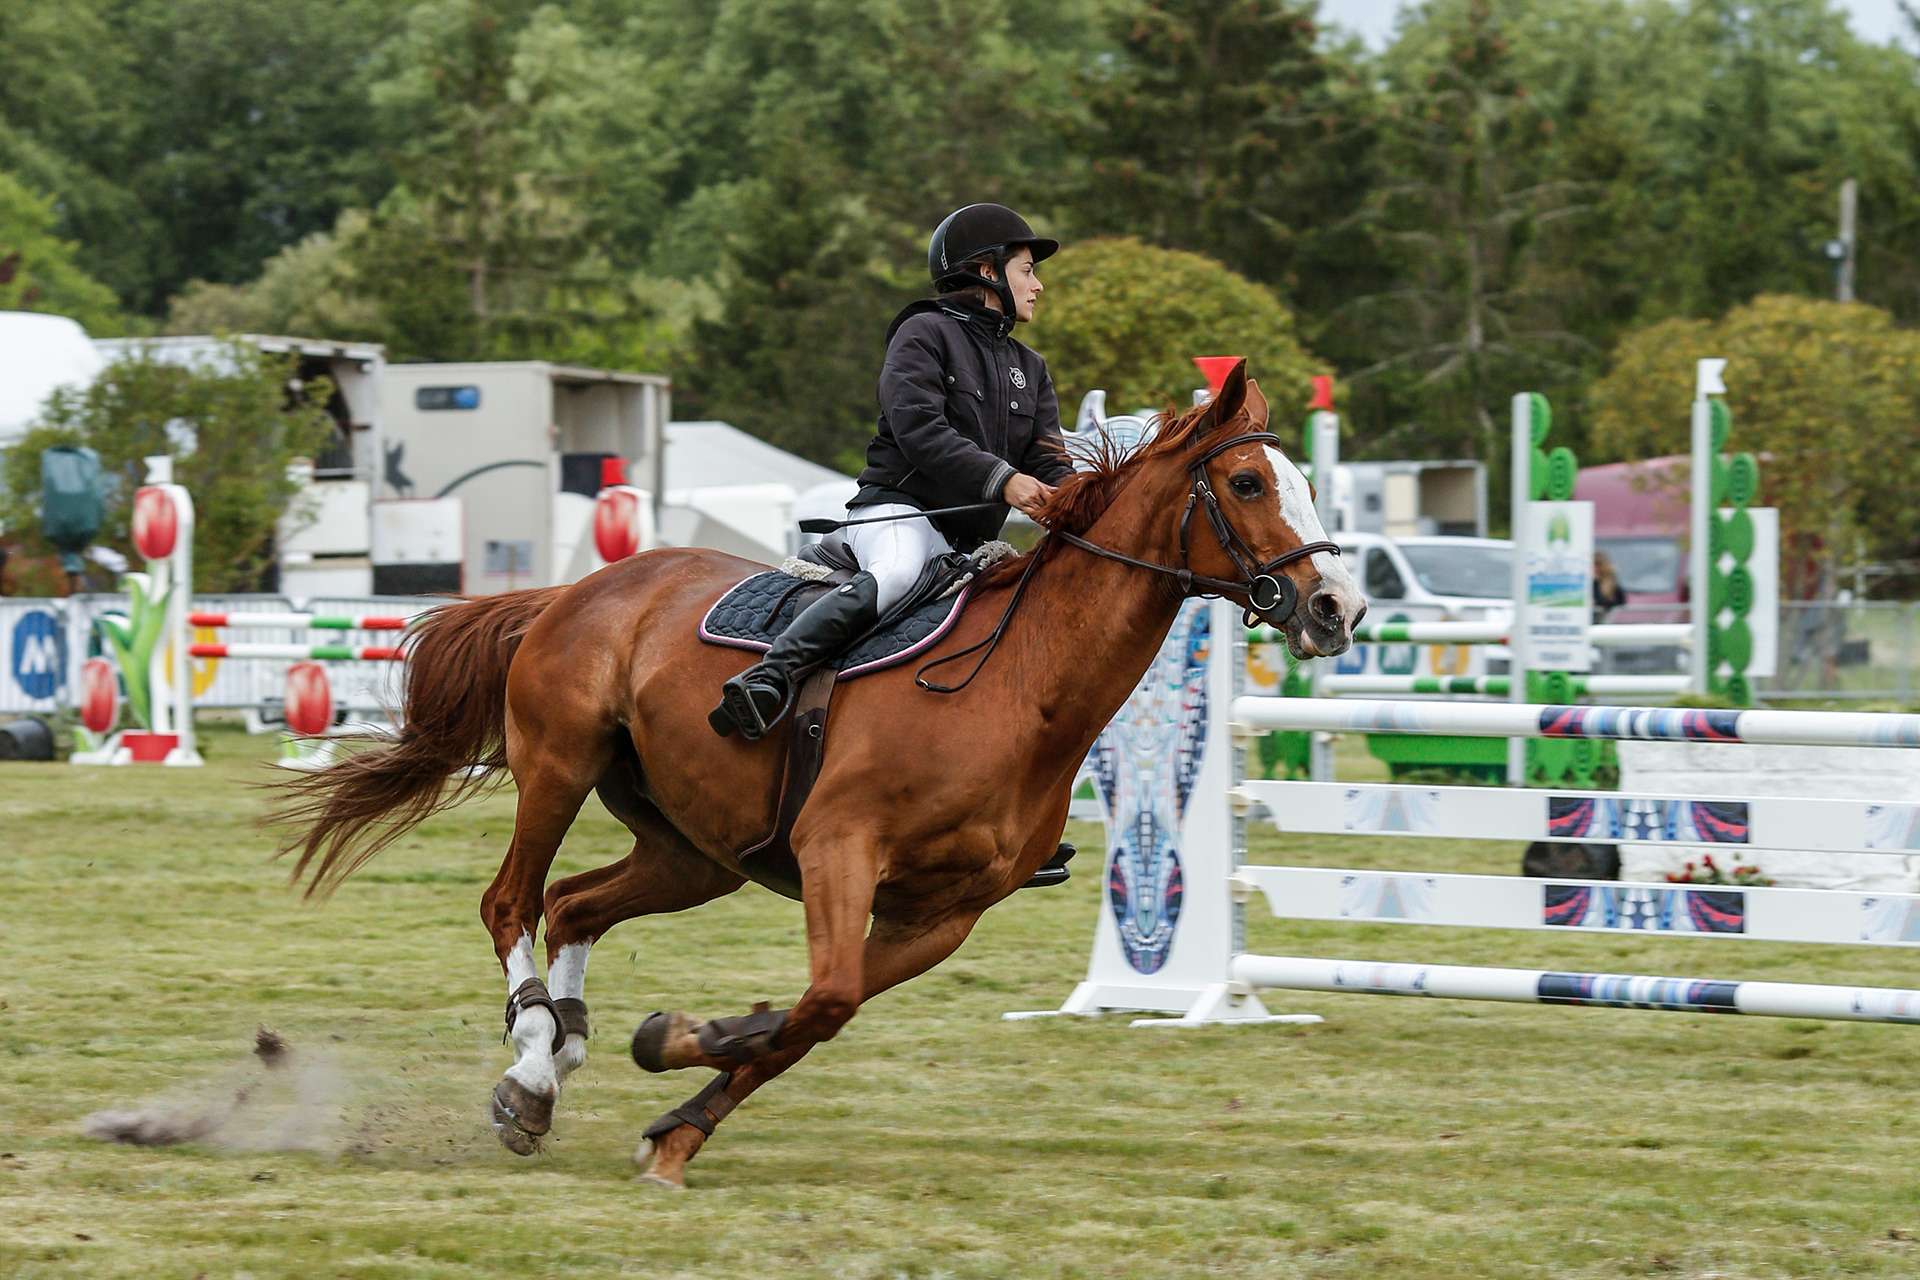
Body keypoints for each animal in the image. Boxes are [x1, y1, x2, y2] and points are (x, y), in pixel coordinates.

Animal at [273, 359, 1364, 1188]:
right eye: (1249, 485)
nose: (1337, 609)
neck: (1022, 687)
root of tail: (582, 586)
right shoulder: (841, 848)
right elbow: (823, 1000)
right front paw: (677, 1050)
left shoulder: (939, 915)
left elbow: (806, 1020)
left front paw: (676, 1100)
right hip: (560, 763)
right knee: (512, 901)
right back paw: (531, 1065)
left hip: (697, 851)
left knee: (576, 904)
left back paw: (556, 1053)